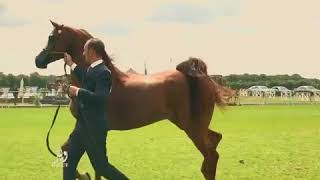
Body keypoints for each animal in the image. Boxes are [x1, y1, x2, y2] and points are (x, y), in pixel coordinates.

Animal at [35, 20, 234, 179]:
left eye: (52, 37)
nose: (38, 60)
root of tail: (201, 76)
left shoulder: (91, 130)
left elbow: (82, 158)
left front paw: (83, 174)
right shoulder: (84, 129)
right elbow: (71, 152)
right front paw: (84, 174)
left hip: (193, 127)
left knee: (211, 155)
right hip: (190, 125)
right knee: (215, 141)